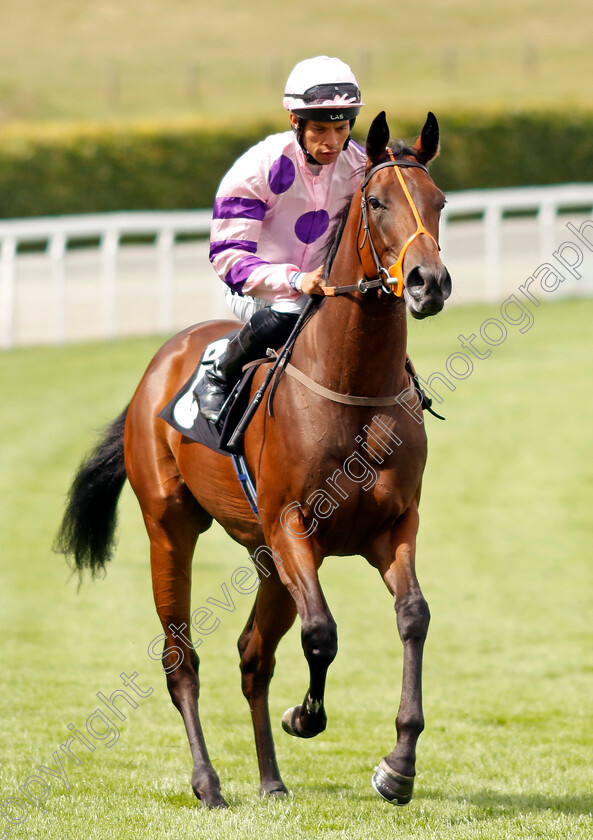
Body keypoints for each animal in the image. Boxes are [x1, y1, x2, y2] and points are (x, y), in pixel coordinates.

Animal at [55, 111, 450, 808]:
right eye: (376, 203)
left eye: (440, 202)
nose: (429, 282)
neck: (354, 390)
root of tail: (159, 366)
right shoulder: (292, 525)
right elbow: (322, 632)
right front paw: (307, 716)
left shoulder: (393, 526)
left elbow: (413, 618)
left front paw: (398, 765)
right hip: (171, 528)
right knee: (181, 660)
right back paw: (208, 783)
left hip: (265, 558)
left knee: (252, 655)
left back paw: (270, 779)